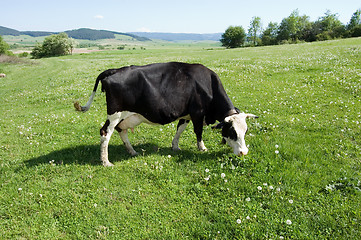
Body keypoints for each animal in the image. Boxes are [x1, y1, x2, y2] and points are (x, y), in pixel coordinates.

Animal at [74, 62, 258, 167]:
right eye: (232, 131)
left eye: (245, 131)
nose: (244, 152)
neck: (208, 85)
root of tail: (113, 71)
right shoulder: (197, 113)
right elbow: (198, 132)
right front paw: (202, 148)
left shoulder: (185, 114)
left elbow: (180, 129)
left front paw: (175, 146)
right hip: (115, 114)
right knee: (105, 133)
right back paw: (106, 161)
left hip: (124, 117)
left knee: (121, 131)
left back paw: (132, 151)